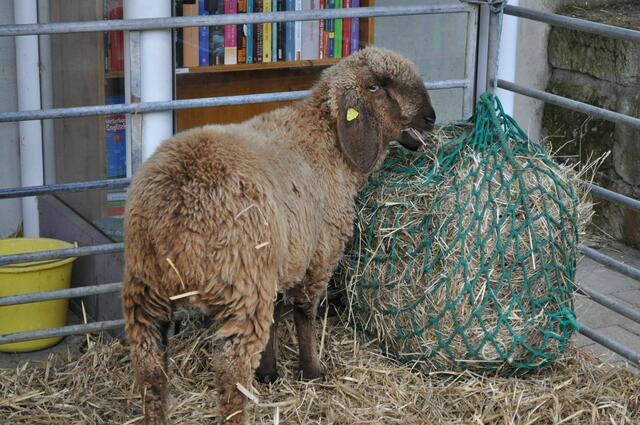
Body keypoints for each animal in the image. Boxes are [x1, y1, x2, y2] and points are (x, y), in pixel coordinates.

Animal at [122, 46, 436, 425]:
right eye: (380, 87)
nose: (431, 117)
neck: (326, 138)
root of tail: (176, 206)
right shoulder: (319, 253)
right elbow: (304, 312)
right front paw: (312, 370)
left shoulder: (276, 265)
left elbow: (275, 315)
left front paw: (269, 372)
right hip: (239, 289)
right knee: (230, 376)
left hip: (146, 289)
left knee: (151, 373)